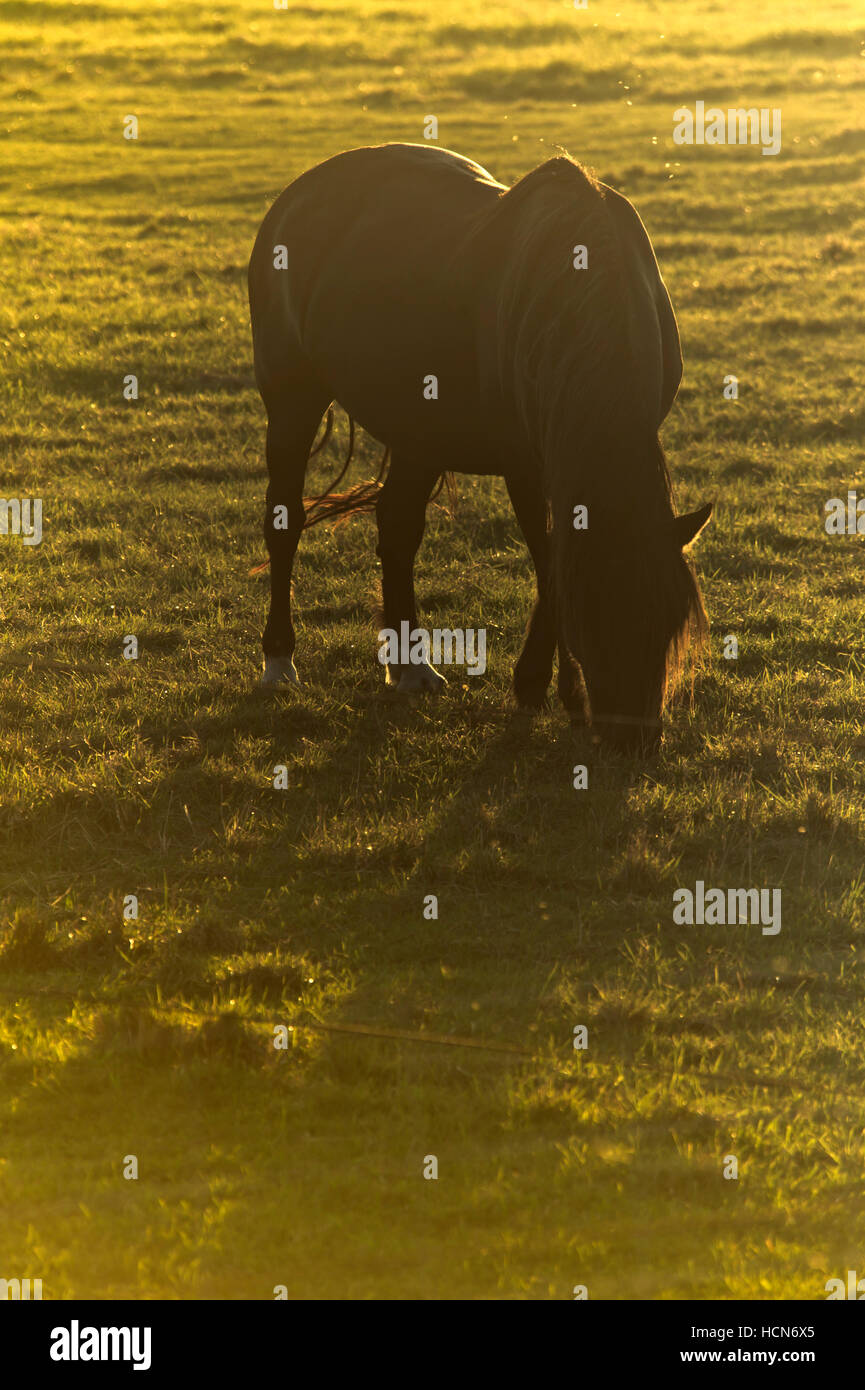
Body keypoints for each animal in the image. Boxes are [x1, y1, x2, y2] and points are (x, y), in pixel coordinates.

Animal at [247, 143, 712, 753]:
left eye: (671, 623)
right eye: (593, 621)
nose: (633, 744)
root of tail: (298, 193)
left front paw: (544, 690)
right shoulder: (525, 464)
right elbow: (549, 561)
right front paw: (544, 689)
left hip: (418, 431)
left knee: (397, 527)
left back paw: (411, 668)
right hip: (292, 398)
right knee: (287, 520)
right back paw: (280, 661)